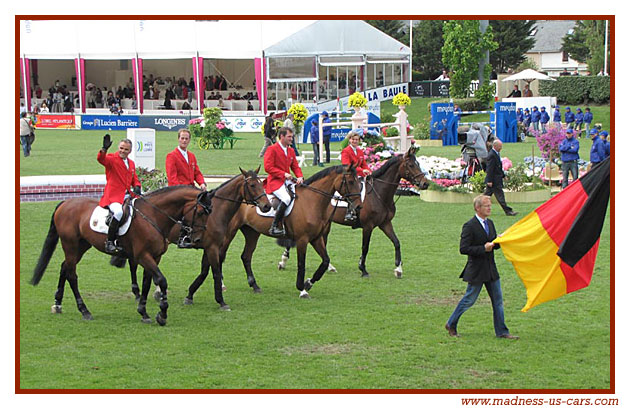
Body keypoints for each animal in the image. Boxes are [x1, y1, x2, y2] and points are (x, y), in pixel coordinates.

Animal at [30, 186, 214, 326]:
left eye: (209, 213)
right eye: (200, 212)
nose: (197, 239)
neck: (153, 216)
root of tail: (65, 203)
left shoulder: (154, 257)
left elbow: (147, 283)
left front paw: (144, 312)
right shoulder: (143, 256)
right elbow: (161, 280)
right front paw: (162, 314)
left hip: (81, 246)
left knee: (65, 268)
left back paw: (57, 304)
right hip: (70, 245)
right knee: (72, 275)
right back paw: (84, 310)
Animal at [129, 166, 274, 310]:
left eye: (262, 183)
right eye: (252, 185)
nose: (267, 206)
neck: (215, 211)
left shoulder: (209, 247)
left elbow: (204, 272)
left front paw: (190, 295)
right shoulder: (212, 247)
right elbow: (215, 272)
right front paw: (221, 301)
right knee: (135, 264)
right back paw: (140, 293)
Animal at [186, 163, 366, 300]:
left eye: (358, 181)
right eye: (351, 181)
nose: (358, 207)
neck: (312, 201)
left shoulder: (316, 238)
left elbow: (325, 261)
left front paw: (309, 282)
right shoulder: (302, 239)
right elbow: (301, 264)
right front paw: (302, 288)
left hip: (252, 232)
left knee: (246, 256)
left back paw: (254, 285)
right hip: (229, 233)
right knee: (222, 256)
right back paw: (223, 285)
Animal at [278, 148, 432, 278]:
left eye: (418, 164)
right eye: (411, 165)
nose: (425, 183)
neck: (379, 194)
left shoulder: (385, 223)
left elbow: (397, 242)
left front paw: (398, 269)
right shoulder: (368, 226)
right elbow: (365, 247)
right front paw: (363, 269)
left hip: (326, 224)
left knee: (323, 242)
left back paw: (330, 267)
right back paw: (283, 261)